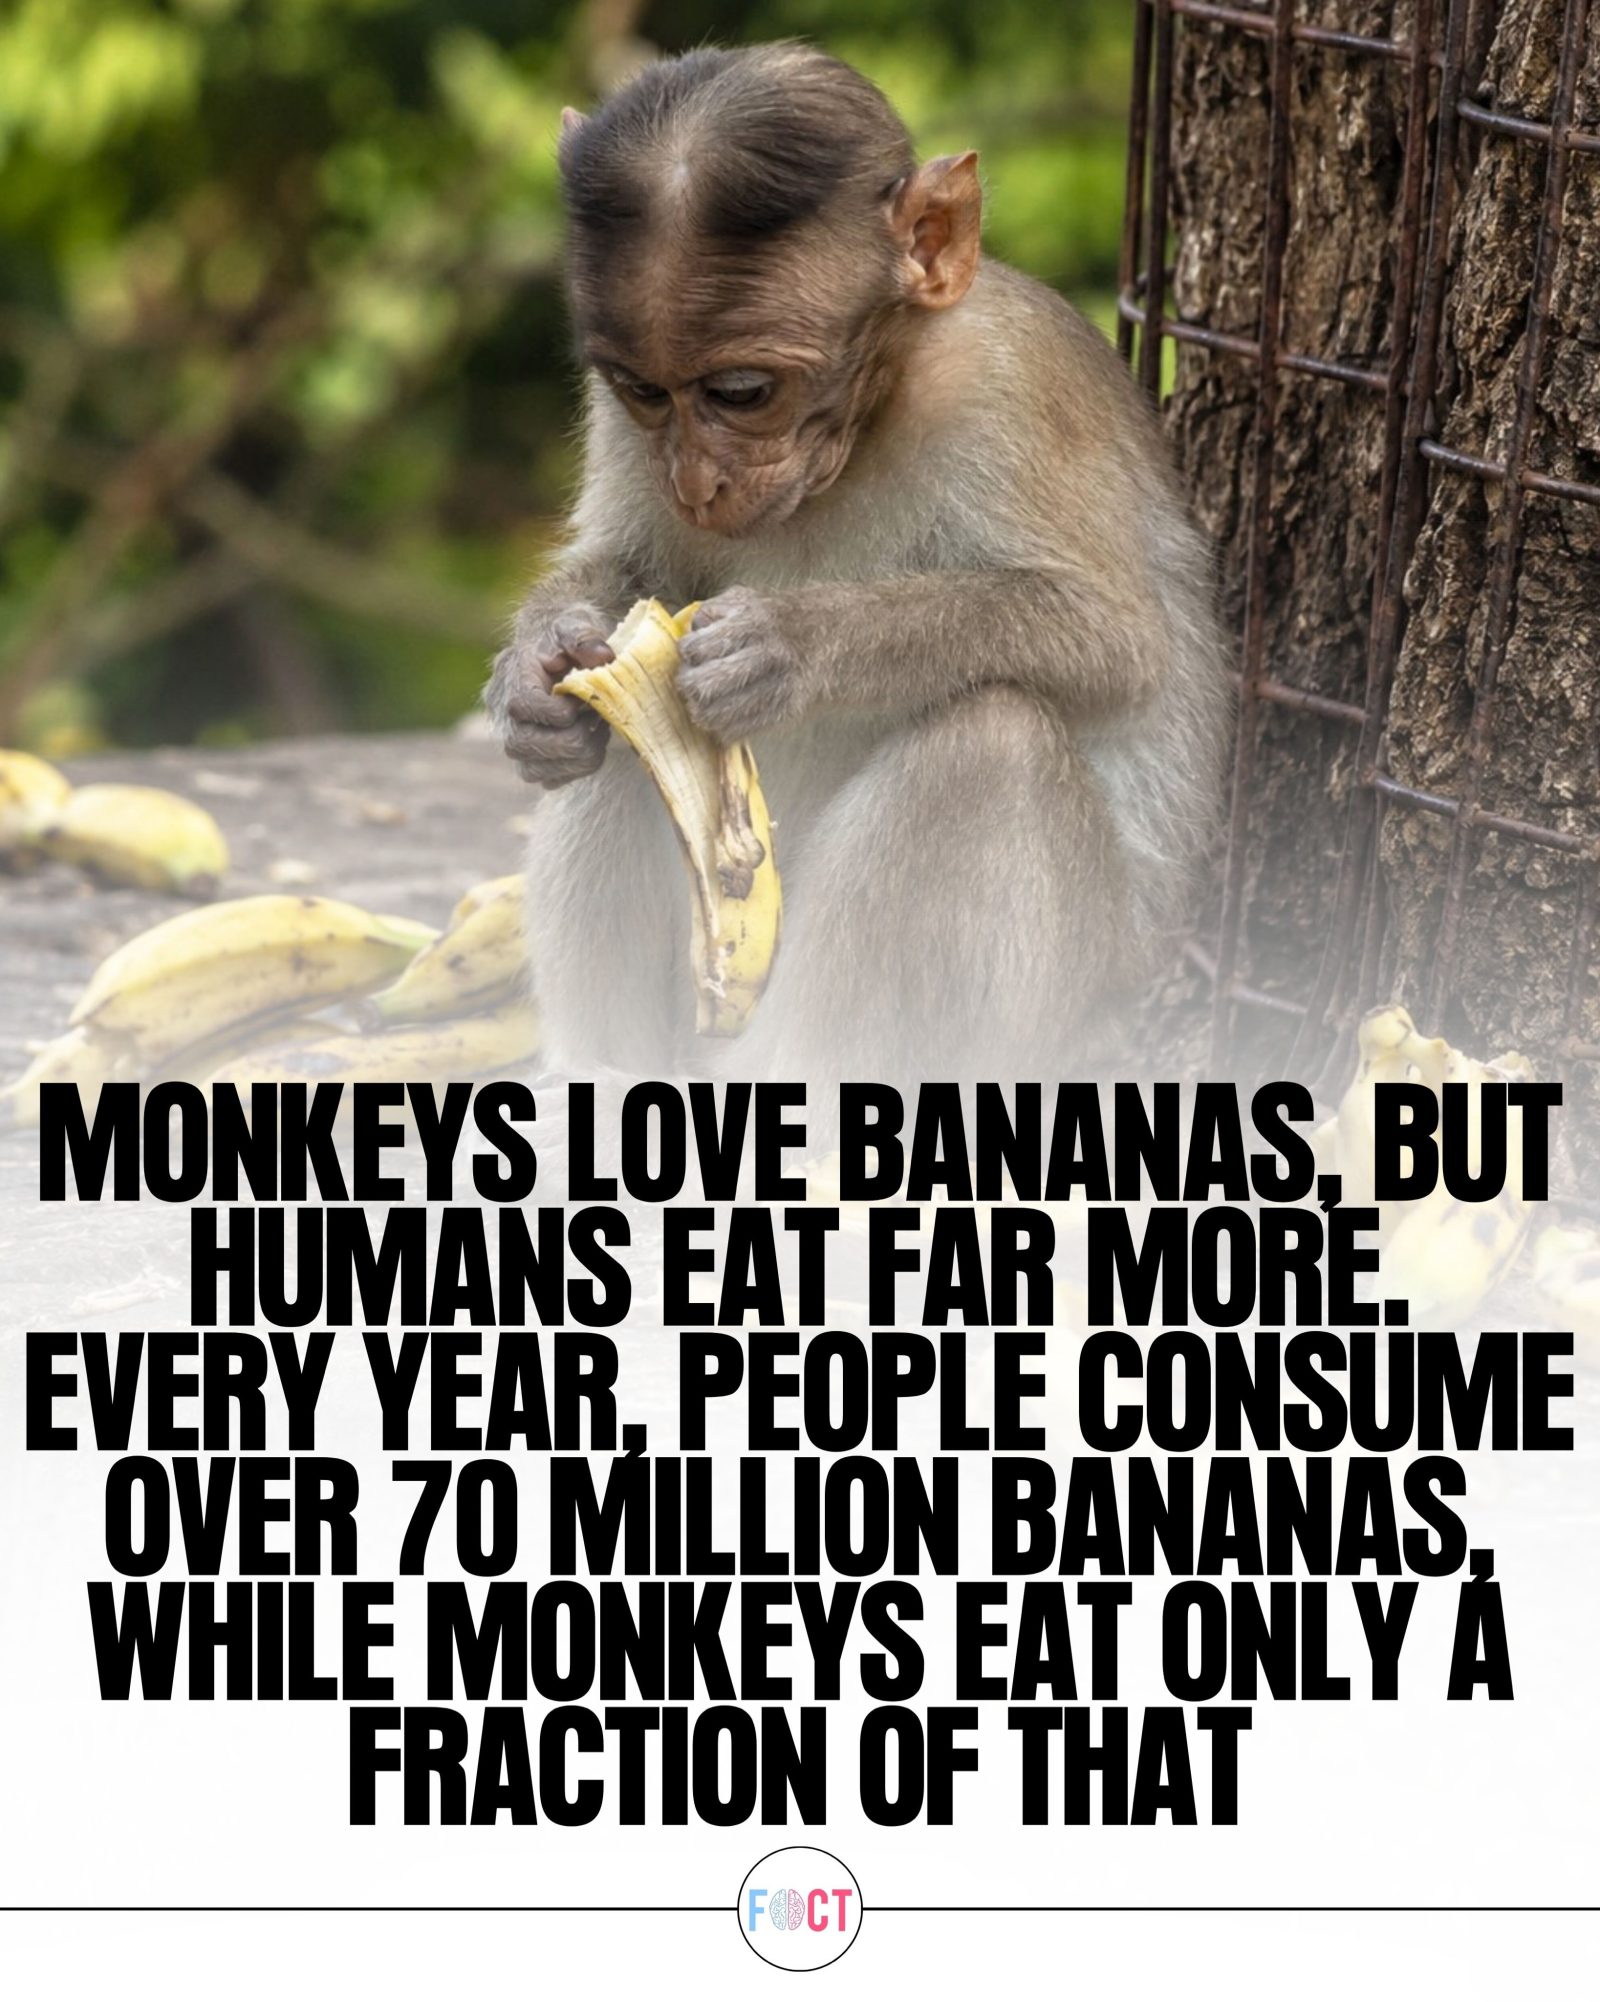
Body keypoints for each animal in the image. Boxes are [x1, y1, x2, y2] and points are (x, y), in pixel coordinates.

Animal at [484, 42, 1229, 1109]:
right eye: (644, 392)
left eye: (742, 392)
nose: (697, 483)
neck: (881, 403)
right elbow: (630, 568)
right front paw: (533, 678)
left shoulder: (1014, 379)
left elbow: (1115, 637)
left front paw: (789, 649)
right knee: (624, 737)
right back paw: (604, 1072)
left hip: (1061, 1019)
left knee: (992, 745)